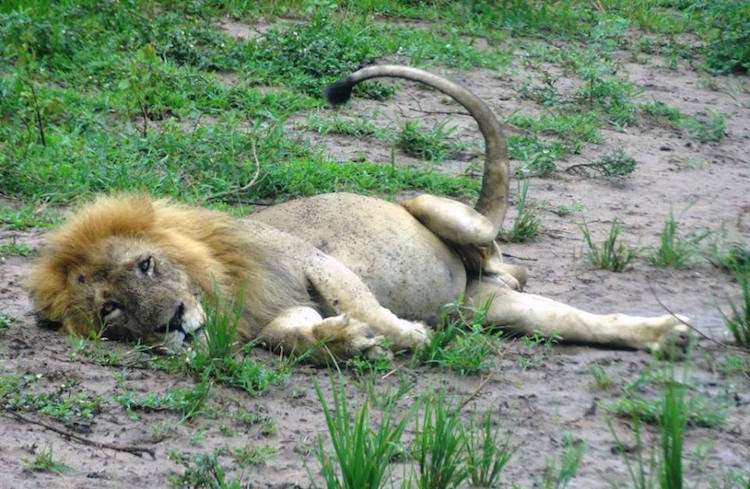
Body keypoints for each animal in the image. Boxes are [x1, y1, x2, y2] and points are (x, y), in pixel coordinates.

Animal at [29, 66, 692, 362]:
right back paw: (664, 335)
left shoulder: (311, 259)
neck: (223, 292)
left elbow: (364, 302)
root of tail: (469, 291)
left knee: (505, 258)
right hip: (491, 310)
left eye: (146, 265)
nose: (172, 321)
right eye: (109, 311)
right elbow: (295, 336)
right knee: (570, 319)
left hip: (430, 208)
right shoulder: (273, 315)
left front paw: (403, 335)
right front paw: (344, 340)